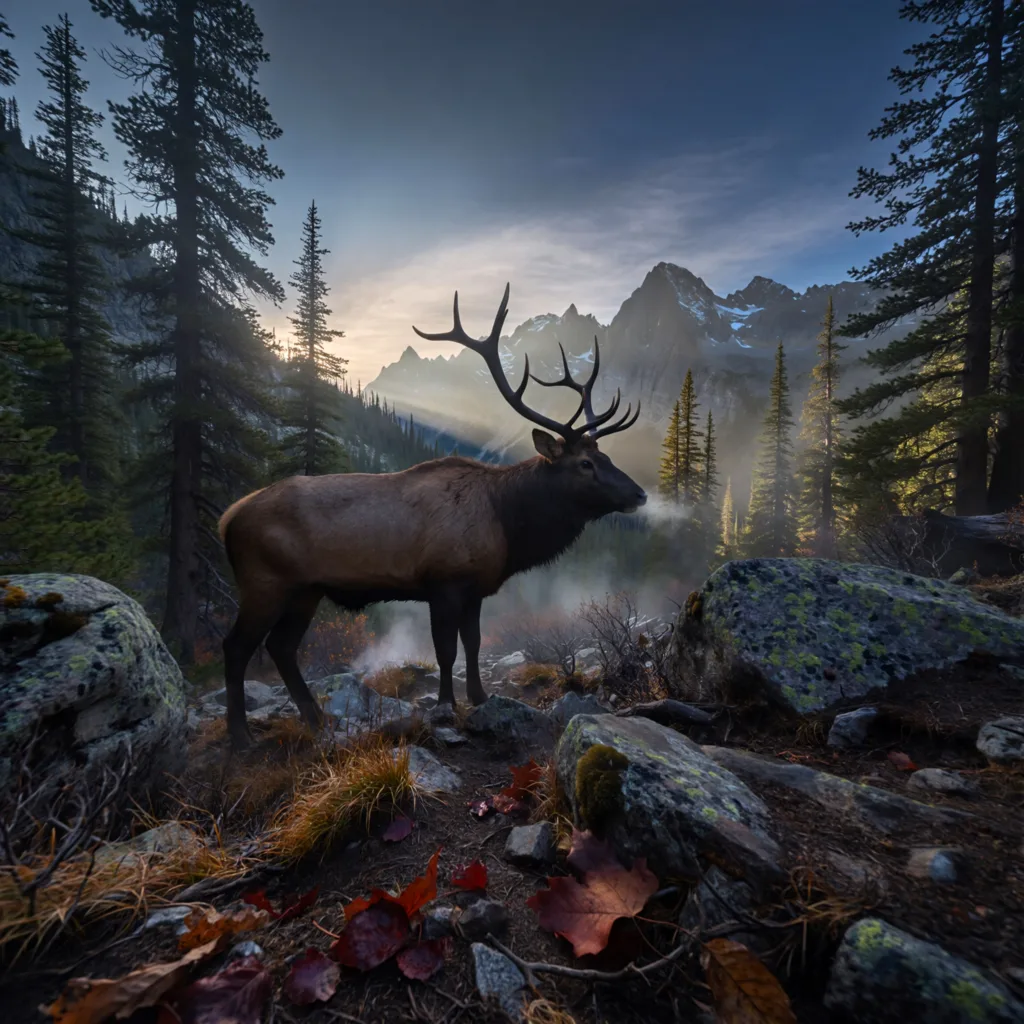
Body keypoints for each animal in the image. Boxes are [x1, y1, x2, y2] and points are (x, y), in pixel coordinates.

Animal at [218, 284, 646, 749]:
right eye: (585, 463)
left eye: (606, 456)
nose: (640, 493)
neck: (506, 522)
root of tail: (227, 520)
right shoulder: (443, 580)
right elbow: (445, 649)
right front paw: (445, 705)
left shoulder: (476, 588)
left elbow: (474, 643)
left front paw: (479, 696)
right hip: (265, 581)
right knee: (237, 647)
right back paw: (240, 734)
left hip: (306, 589)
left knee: (281, 647)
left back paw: (316, 718)